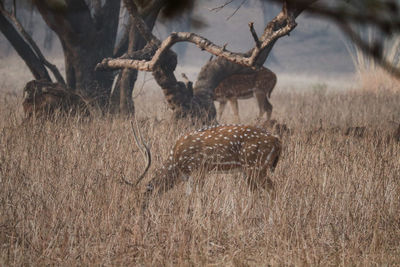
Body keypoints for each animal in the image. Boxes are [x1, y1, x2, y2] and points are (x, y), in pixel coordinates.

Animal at [128, 122, 282, 198]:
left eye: (144, 195)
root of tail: (277, 141)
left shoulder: (198, 169)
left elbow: (196, 196)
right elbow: (189, 196)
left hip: (256, 166)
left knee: (273, 190)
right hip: (248, 170)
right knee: (256, 193)